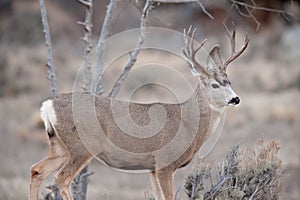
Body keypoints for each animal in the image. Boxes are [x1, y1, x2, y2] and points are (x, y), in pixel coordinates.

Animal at [28, 25, 248, 200]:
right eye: (214, 85)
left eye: (229, 82)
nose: (235, 99)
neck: (187, 122)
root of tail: (48, 105)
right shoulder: (164, 163)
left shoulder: (152, 168)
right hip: (83, 146)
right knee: (62, 178)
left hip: (60, 146)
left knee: (36, 170)